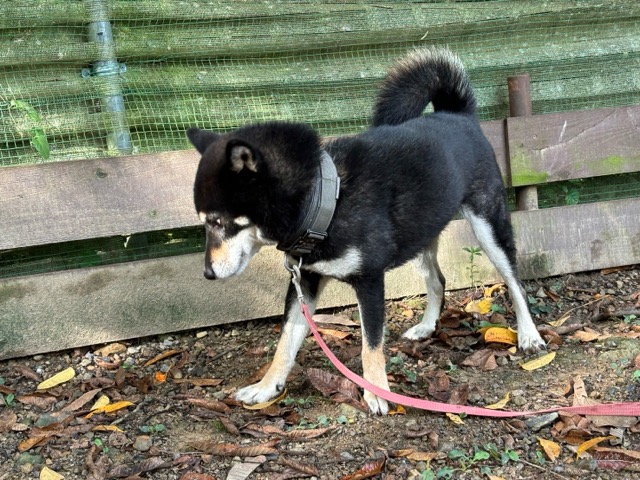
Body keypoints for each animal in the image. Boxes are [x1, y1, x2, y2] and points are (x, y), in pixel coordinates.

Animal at [187, 47, 546, 415]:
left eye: (216, 222)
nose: (207, 273)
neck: (326, 199)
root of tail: (458, 115)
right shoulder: (305, 280)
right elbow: (286, 341)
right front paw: (266, 387)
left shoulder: (370, 281)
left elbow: (370, 345)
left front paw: (377, 392)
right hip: (419, 235)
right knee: (437, 281)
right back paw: (427, 326)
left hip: (489, 228)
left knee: (515, 281)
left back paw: (529, 334)